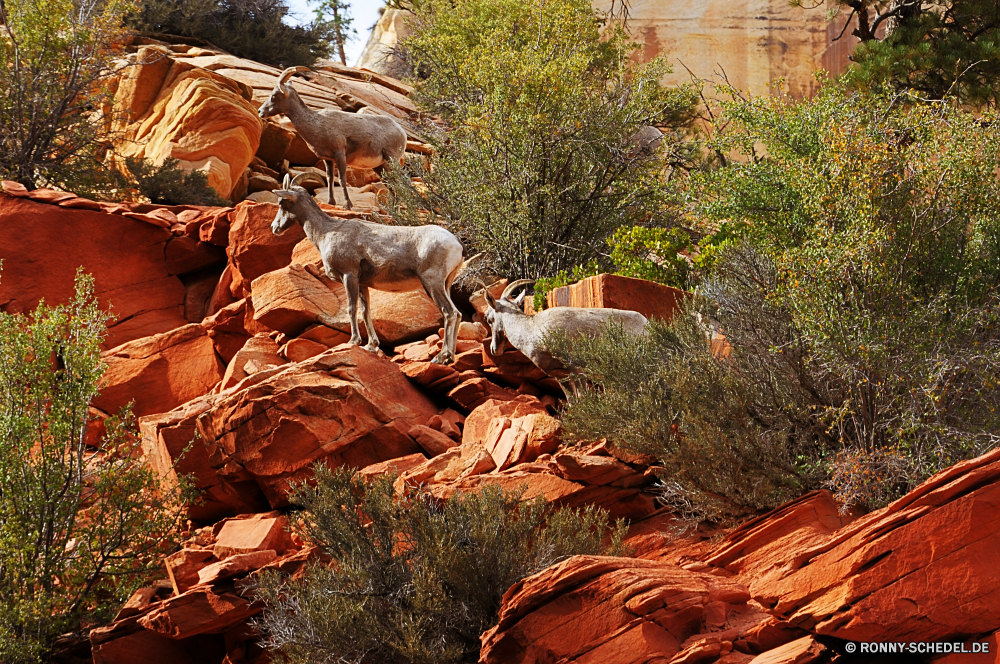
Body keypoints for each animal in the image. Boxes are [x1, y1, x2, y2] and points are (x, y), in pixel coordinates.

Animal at [264, 67, 412, 210]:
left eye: (274, 96)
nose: (260, 111)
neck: (316, 123)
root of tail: (401, 132)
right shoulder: (328, 159)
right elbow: (330, 179)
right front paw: (331, 202)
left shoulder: (340, 154)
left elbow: (341, 179)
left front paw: (348, 205)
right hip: (380, 166)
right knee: (391, 183)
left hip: (391, 159)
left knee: (403, 181)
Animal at [274, 172, 476, 364]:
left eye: (282, 202)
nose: (274, 227)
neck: (326, 232)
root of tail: (456, 242)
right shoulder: (363, 284)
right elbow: (366, 311)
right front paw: (371, 345)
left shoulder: (349, 276)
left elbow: (351, 308)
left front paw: (354, 341)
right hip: (445, 284)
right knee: (457, 314)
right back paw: (450, 357)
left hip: (432, 283)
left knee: (449, 313)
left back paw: (441, 357)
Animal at [482, 280, 648, 394]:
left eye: (488, 318)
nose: (494, 349)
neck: (532, 331)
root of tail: (647, 325)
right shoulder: (561, 376)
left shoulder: (578, 371)